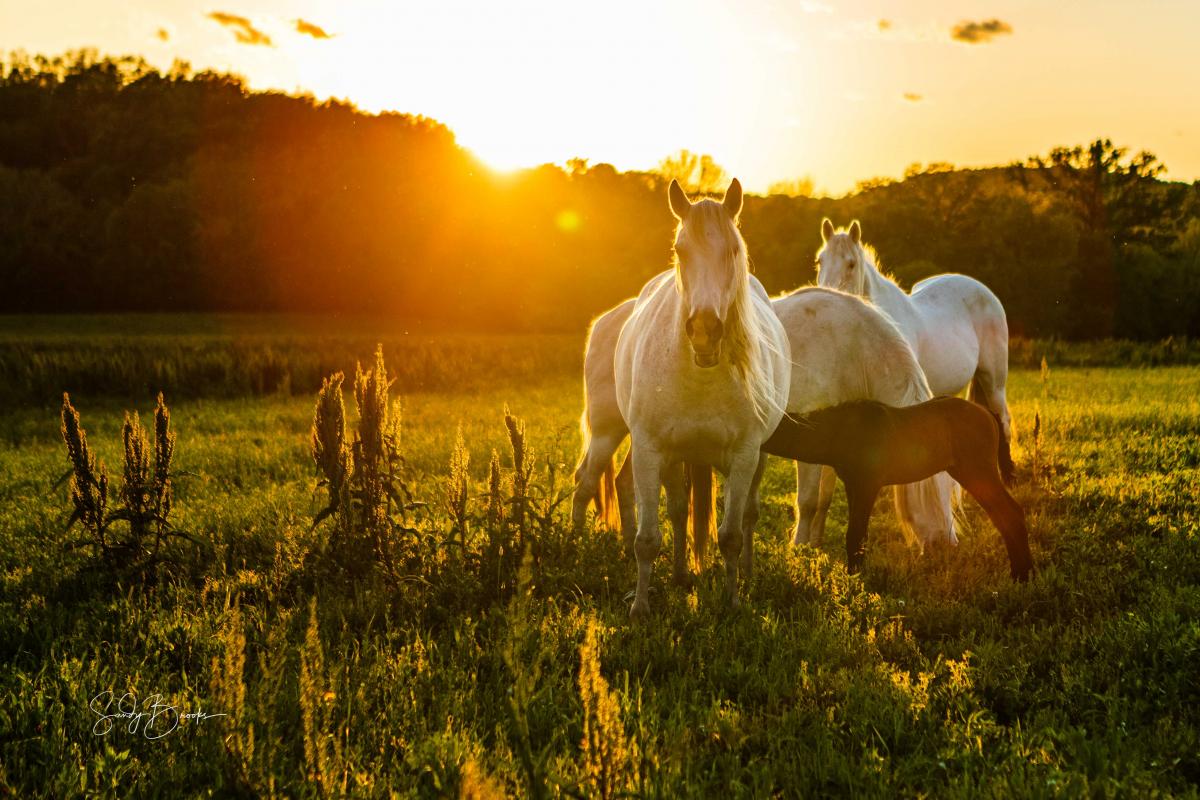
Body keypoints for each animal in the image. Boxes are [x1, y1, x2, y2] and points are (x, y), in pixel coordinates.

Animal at [614, 178, 790, 618]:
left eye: (733, 251)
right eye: (681, 250)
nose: (705, 330)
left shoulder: (744, 455)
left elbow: (730, 536)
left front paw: (732, 602)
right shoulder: (649, 452)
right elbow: (647, 538)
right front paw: (640, 608)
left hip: (755, 458)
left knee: (747, 514)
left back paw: (746, 573)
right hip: (675, 457)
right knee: (678, 511)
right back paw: (679, 575)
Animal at [762, 397, 1033, 581]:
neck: (838, 430)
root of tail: (987, 412)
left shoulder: (867, 484)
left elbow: (856, 535)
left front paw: (854, 581)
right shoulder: (853, 485)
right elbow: (857, 535)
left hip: (977, 472)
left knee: (1010, 514)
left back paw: (1022, 574)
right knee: (1004, 516)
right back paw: (1021, 571)